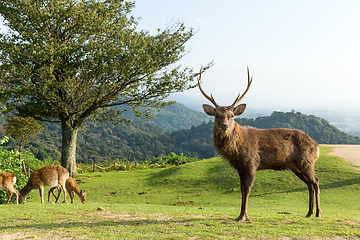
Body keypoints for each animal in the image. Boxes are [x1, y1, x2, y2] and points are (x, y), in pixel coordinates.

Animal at [198, 65, 322, 221]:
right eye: (216, 115)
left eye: (231, 116)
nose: (224, 126)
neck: (237, 151)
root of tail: (316, 145)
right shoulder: (240, 167)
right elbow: (241, 189)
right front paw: (240, 214)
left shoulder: (252, 163)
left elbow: (247, 189)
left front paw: (243, 216)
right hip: (296, 166)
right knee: (309, 184)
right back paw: (309, 213)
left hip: (306, 161)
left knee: (316, 181)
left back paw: (318, 213)